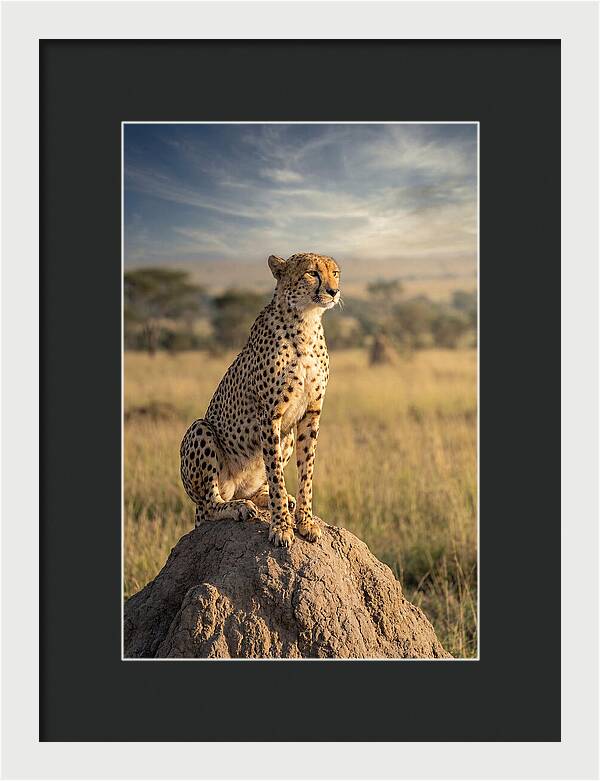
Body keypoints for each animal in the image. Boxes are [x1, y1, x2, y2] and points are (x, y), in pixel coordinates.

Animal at [180, 251, 341, 547]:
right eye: (312, 273)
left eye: (335, 273)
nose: (333, 291)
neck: (306, 321)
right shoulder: (270, 415)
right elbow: (276, 473)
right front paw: (281, 527)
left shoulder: (311, 413)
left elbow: (306, 472)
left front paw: (305, 521)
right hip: (200, 430)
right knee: (210, 504)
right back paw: (238, 507)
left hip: (286, 436)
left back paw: (269, 499)